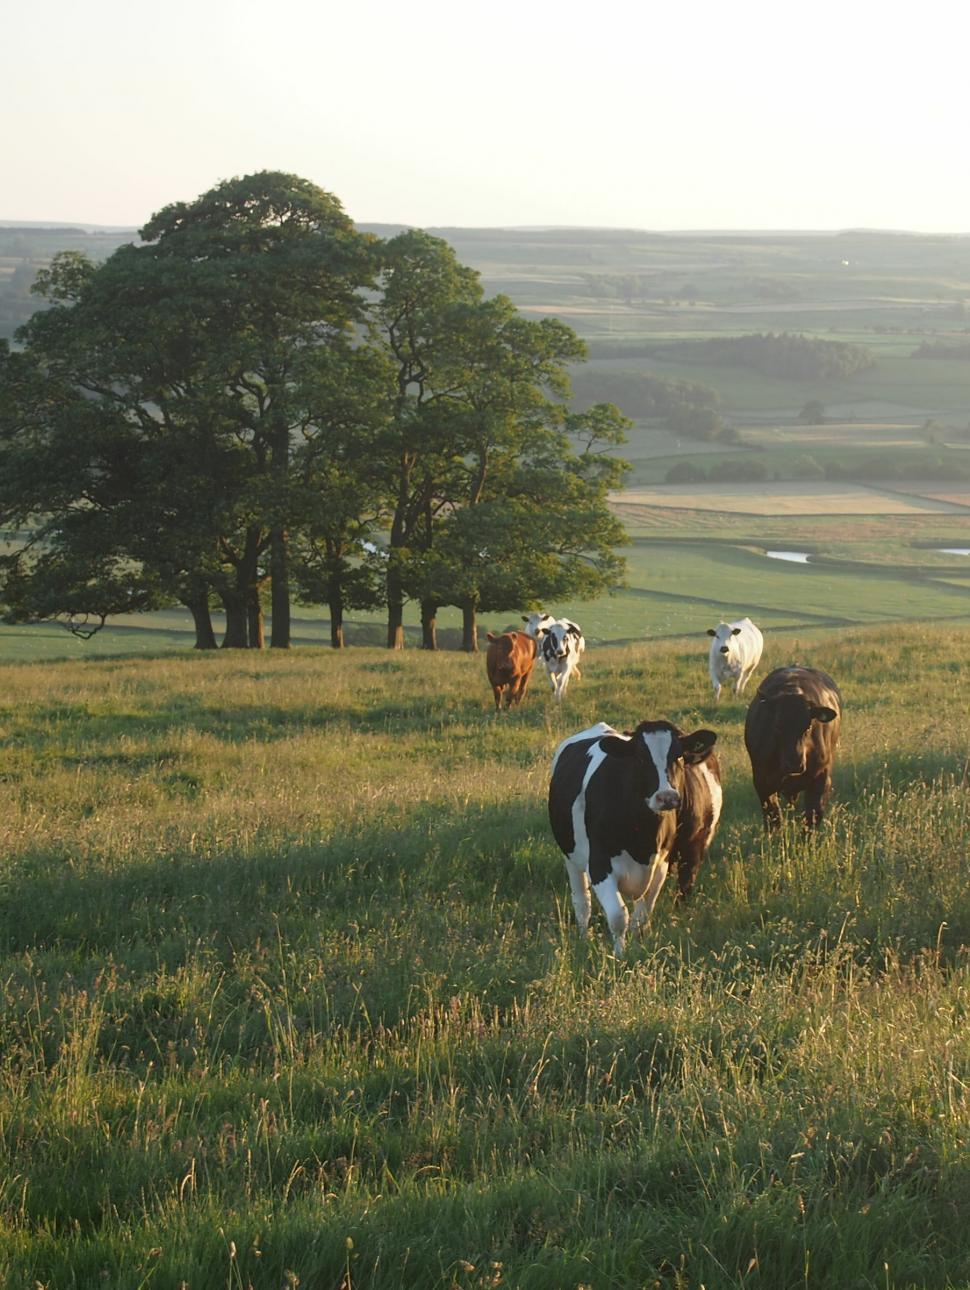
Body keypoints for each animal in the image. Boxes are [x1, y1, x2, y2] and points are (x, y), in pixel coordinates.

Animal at [546, 722, 722, 954]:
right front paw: (619, 955)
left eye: (678, 756)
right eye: (640, 758)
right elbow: (618, 916)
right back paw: (584, 938)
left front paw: (637, 949)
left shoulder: (661, 866)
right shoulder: (599, 866)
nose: (667, 797)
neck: (643, 838)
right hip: (571, 857)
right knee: (582, 903)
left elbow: (641, 917)